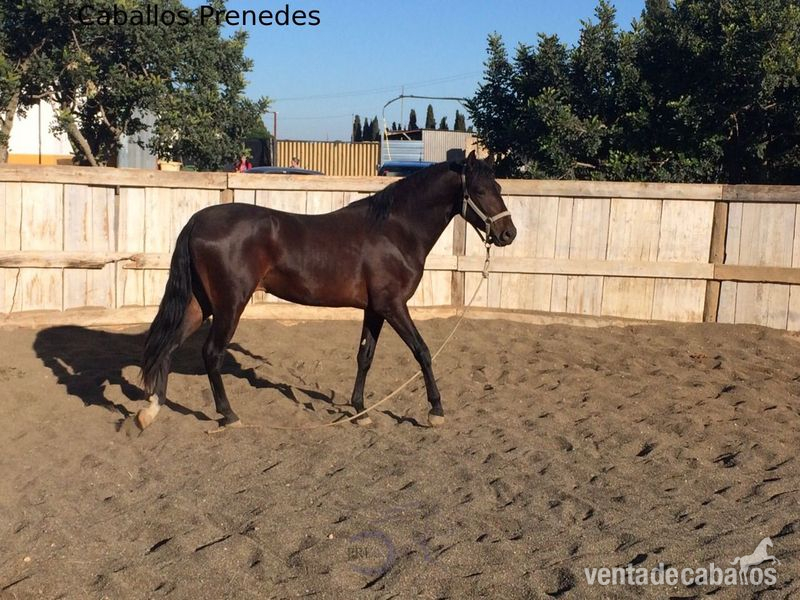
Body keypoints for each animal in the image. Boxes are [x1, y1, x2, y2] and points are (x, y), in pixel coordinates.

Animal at [137, 151, 516, 431]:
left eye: (498, 185)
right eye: (480, 190)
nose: (508, 233)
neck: (394, 230)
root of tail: (196, 221)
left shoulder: (375, 309)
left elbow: (365, 357)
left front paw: (360, 411)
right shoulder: (393, 306)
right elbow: (422, 351)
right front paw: (436, 410)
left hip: (200, 304)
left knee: (168, 346)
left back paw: (151, 410)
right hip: (230, 305)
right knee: (210, 353)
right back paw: (229, 415)